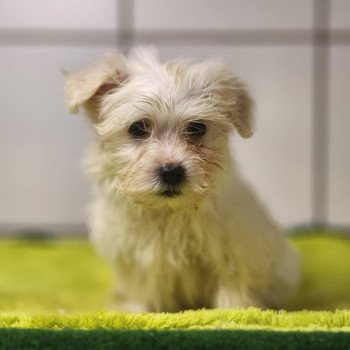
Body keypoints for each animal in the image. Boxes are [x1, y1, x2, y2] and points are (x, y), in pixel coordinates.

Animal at [64, 46, 300, 312]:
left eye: (197, 128)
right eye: (138, 128)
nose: (171, 172)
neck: (167, 213)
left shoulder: (236, 250)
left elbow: (234, 286)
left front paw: (236, 311)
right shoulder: (135, 255)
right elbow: (142, 286)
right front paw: (137, 309)